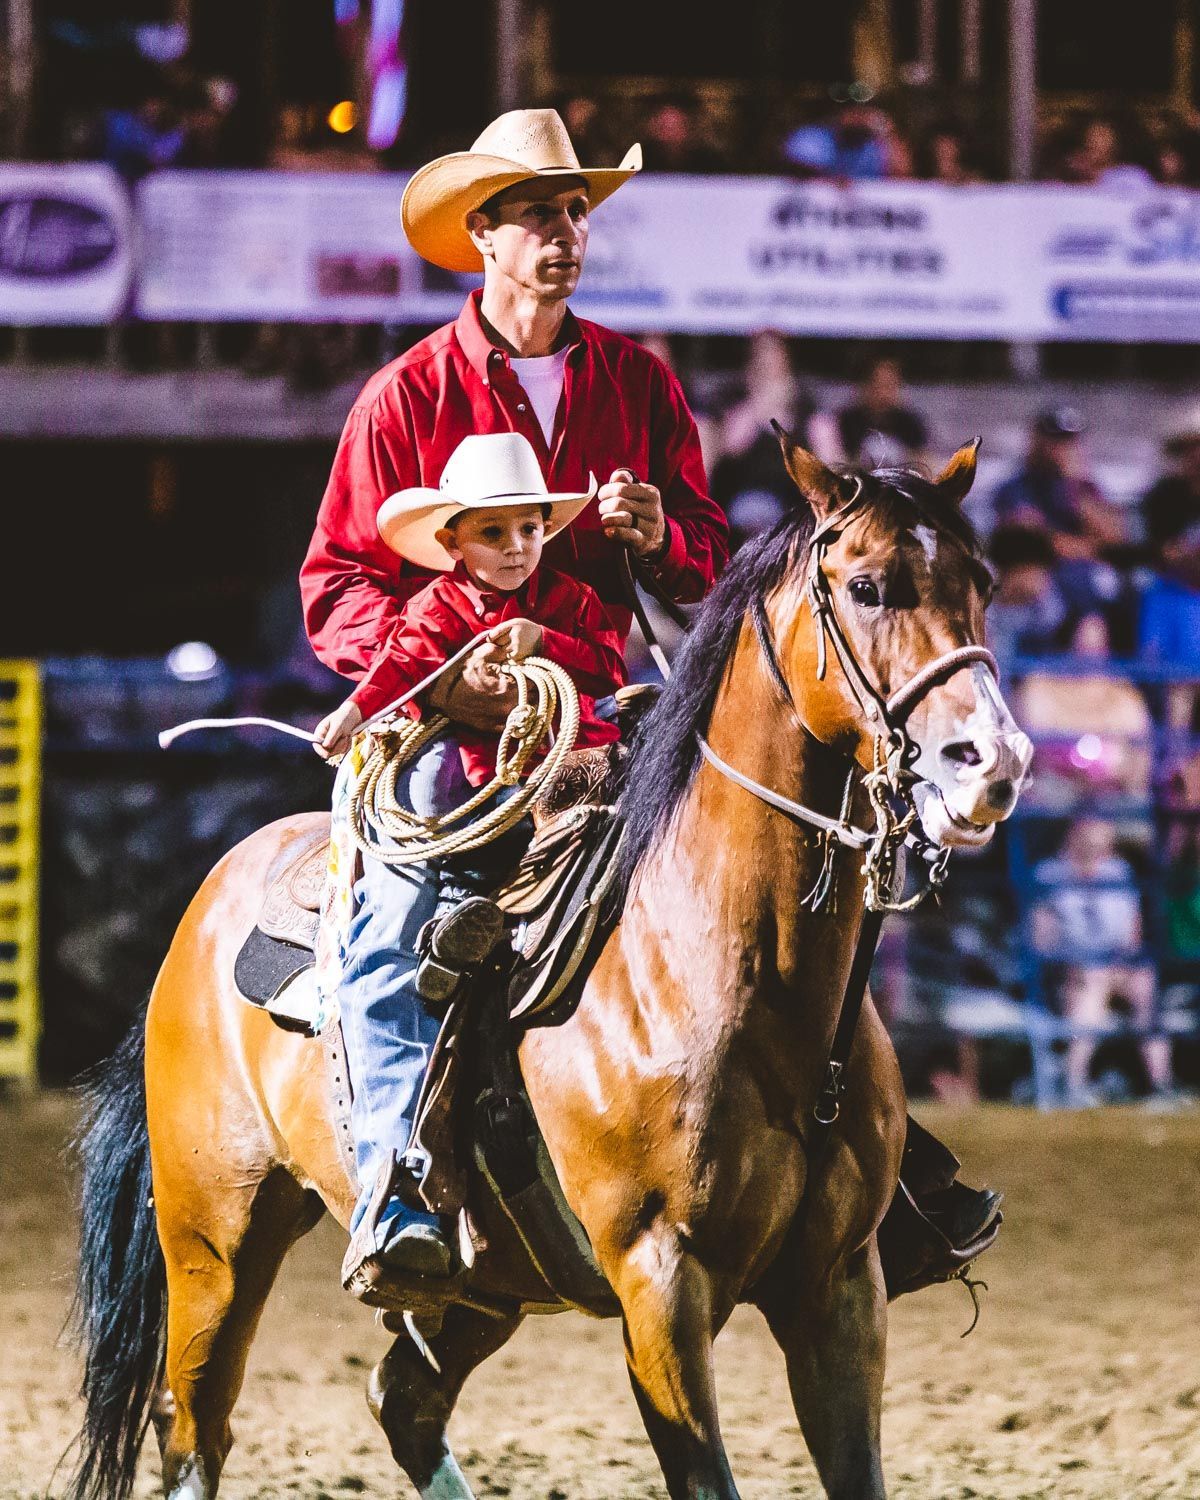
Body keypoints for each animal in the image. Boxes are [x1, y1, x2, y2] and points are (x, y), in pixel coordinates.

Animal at [70, 438, 1032, 1500]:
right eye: (866, 585)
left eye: (982, 582)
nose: (993, 760)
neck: (733, 975)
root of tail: (206, 900)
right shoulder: (662, 1285)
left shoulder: (841, 1286)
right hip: (215, 1240)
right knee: (194, 1424)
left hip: (482, 1285)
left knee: (403, 1400)